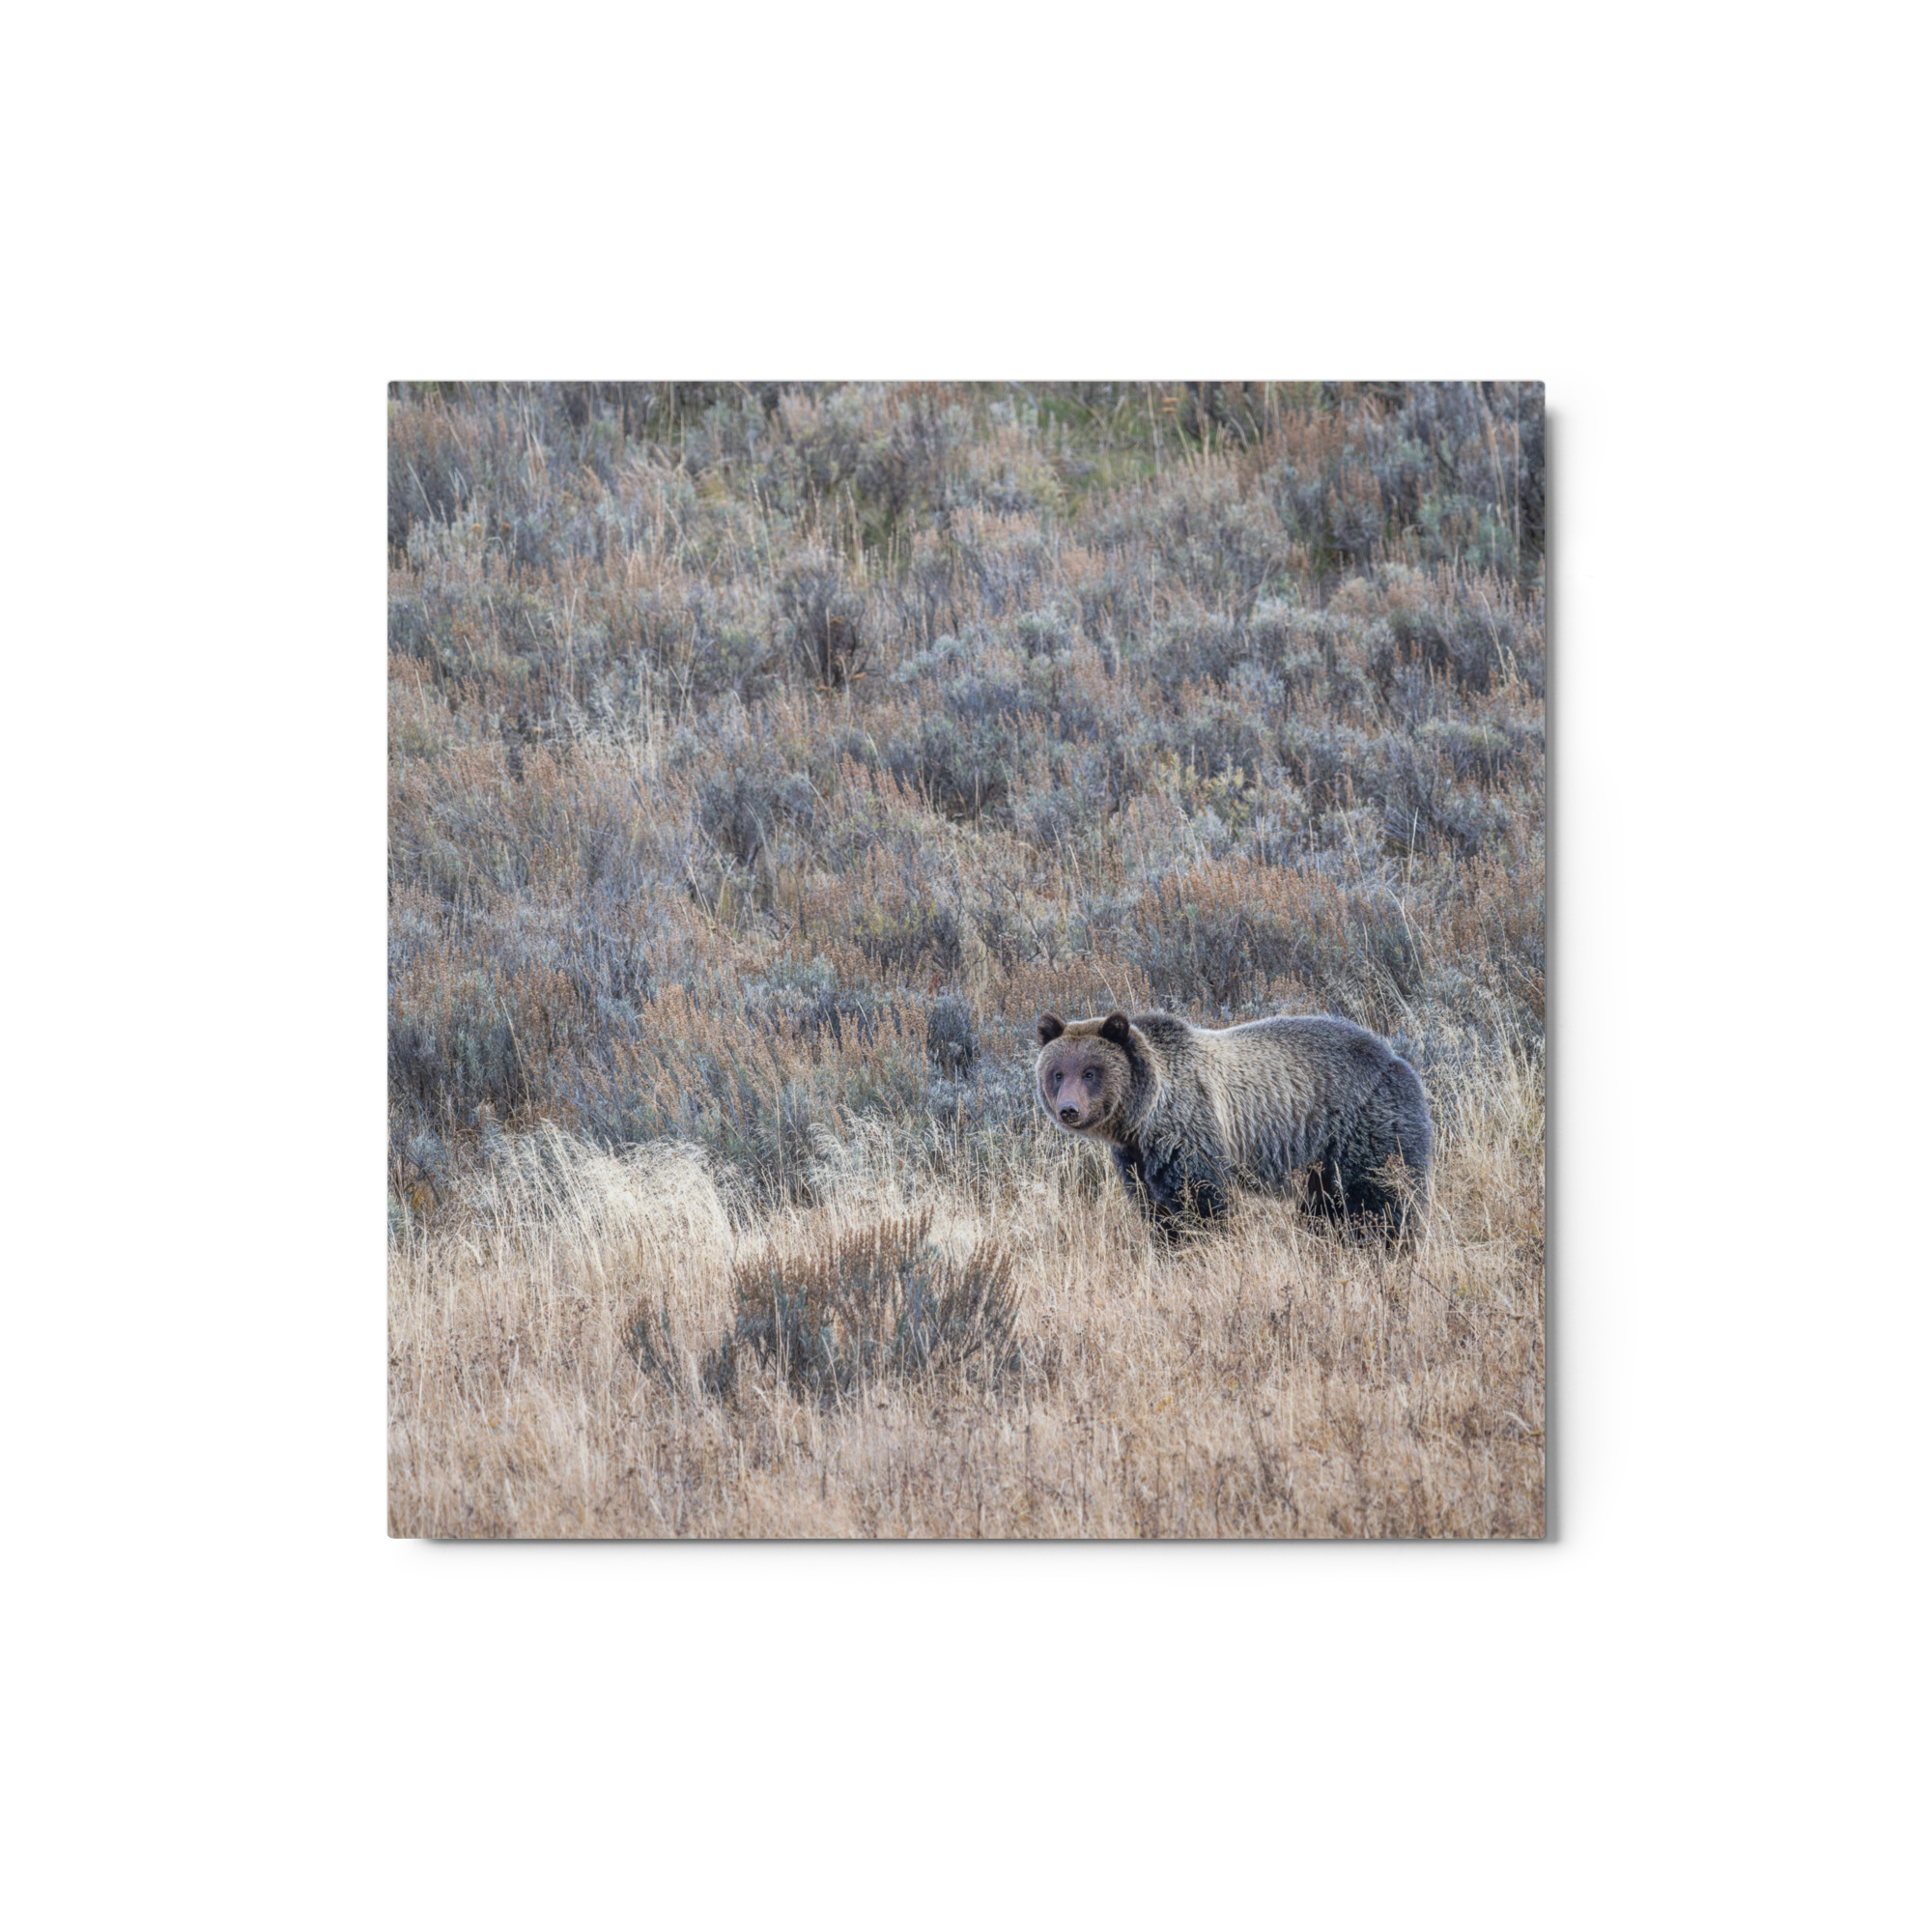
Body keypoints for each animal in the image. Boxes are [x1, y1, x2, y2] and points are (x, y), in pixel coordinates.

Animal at [1034, 1009, 1432, 1239]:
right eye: (1058, 1073)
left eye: (1090, 1072)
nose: (1069, 1110)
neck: (1143, 1116)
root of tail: (1396, 1058)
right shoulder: (1137, 1158)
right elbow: (1155, 1208)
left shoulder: (1190, 1131)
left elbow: (1201, 1202)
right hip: (1320, 1161)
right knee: (1326, 1207)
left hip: (1363, 1127)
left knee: (1379, 1197)